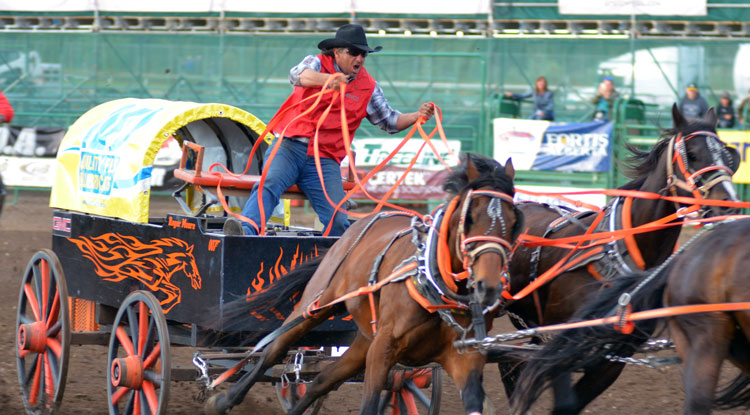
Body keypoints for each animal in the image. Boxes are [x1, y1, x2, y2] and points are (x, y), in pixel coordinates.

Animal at [204, 154, 524, 415]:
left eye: (514, 222)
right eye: (470, 217)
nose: (488, 287)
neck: (434, 287)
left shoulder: (465, 358)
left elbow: (474, 401)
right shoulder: (383, 348)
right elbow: (369, 405)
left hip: (363, 341)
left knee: (322, 380)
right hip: (316, 305)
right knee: (274, 350)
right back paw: (222, 401)